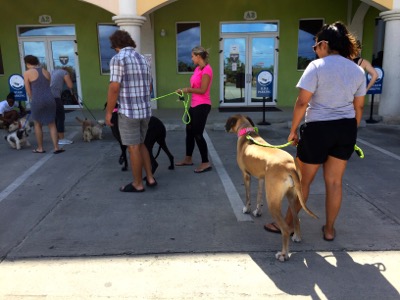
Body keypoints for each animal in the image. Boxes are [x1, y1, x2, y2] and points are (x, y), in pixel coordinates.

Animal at [225, 113, 316, 262]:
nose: (224, 128)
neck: (248, 133)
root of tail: (290, 166)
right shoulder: (261, 179)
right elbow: (259, 197)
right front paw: (257, 211)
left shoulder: (246, 175)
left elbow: (248, 196)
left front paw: (246, 209)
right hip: (292, 196)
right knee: (296, 217)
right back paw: (297, 236)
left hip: (273, 201)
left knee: (285, 229)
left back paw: (284, 254)